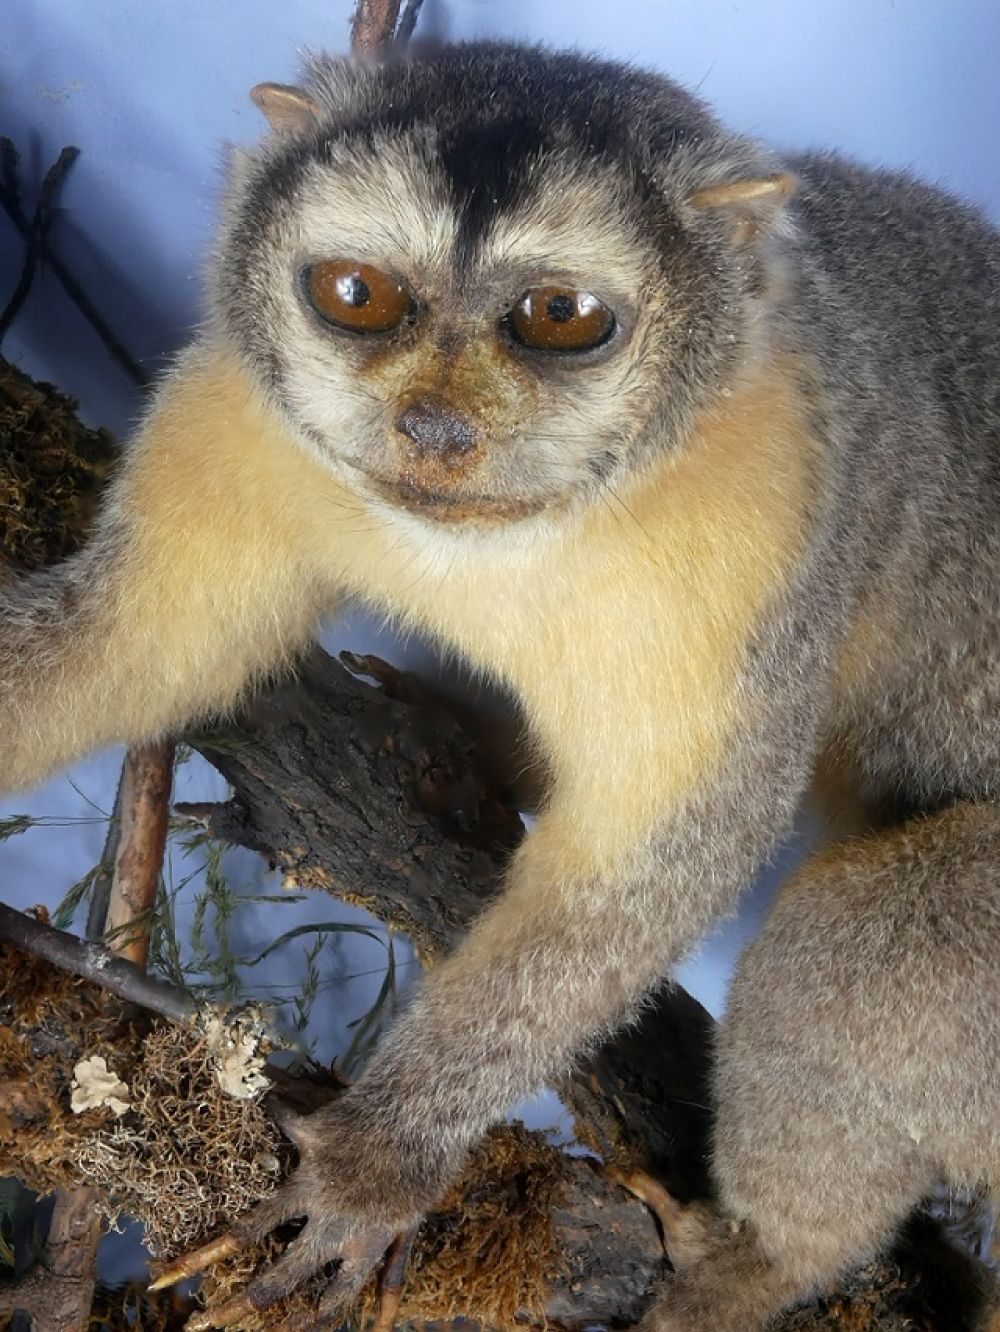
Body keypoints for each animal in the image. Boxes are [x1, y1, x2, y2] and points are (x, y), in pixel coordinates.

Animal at [2, 40, 999, 1331]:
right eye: (355, 293)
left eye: (558, 318)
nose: (432, 427)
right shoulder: (236, 409)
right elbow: (134, 641)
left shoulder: (770, 509)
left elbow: (673, 846)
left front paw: (379, 1162)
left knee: (861, 937)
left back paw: (748, 1269)